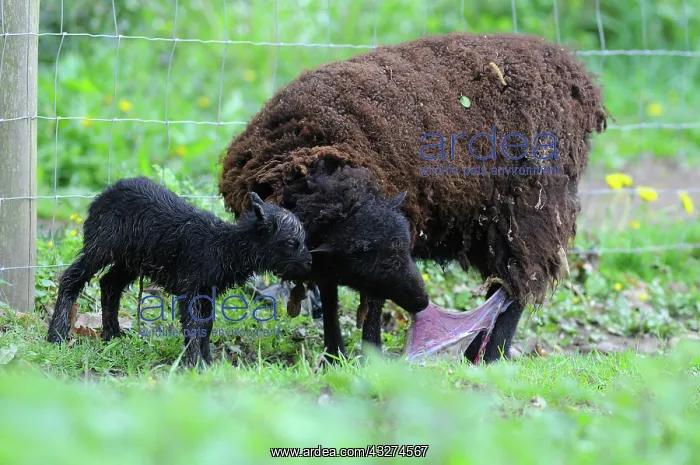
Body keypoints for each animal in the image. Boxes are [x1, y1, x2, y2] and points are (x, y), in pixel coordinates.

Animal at [46, 176, 312, 368]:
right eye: (291, 242)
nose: (309, 265)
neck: (223, 247)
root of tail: (103, 195)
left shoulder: (207, 290)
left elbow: (206, 326)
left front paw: (208, 363)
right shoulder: (190, 285)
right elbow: (193, 327)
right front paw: (194, 365)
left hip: (130, 258)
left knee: (110, 284)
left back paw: (112, 335)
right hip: (101, 245)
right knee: (72, 277)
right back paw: (56, 336)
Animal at [219, 32, 607, 363]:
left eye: (404, 247)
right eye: (363, 253)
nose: (421, 301)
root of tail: (569, 67)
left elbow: (372, 304)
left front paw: (370, 357)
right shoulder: (324, 253)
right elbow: (330, 297)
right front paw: (334, 355)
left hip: (532, 207)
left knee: (517, 285)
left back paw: (487, 357)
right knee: (503, 284)